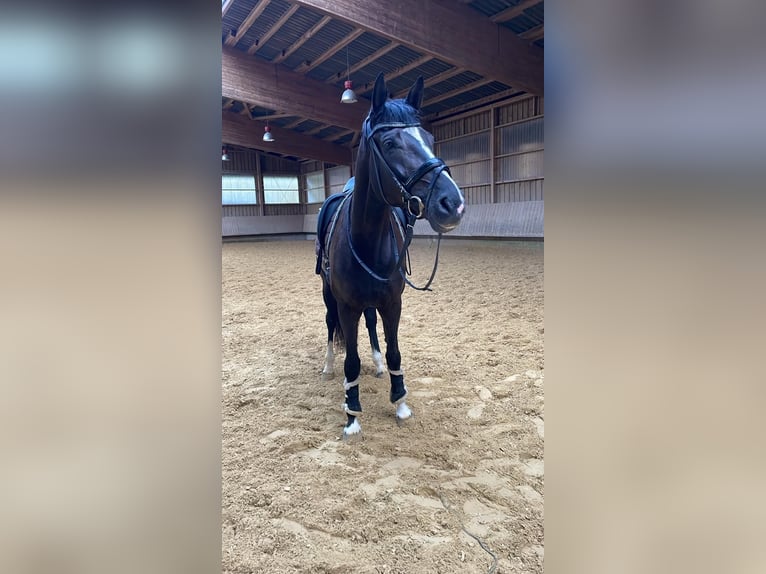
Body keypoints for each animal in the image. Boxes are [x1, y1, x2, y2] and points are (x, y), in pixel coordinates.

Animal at [316, 72, 465, 440]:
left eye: (429, 138)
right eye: (390, 143)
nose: (453, 203)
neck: (367, 239)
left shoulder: (392, 302)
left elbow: (396, 352)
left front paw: (400, 403)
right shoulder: (347, 306)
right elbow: (351, 360)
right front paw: (352, 415)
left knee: (371, 325)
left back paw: (378, 363)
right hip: (328, 295)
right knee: (329, 324)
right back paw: (327, 366)